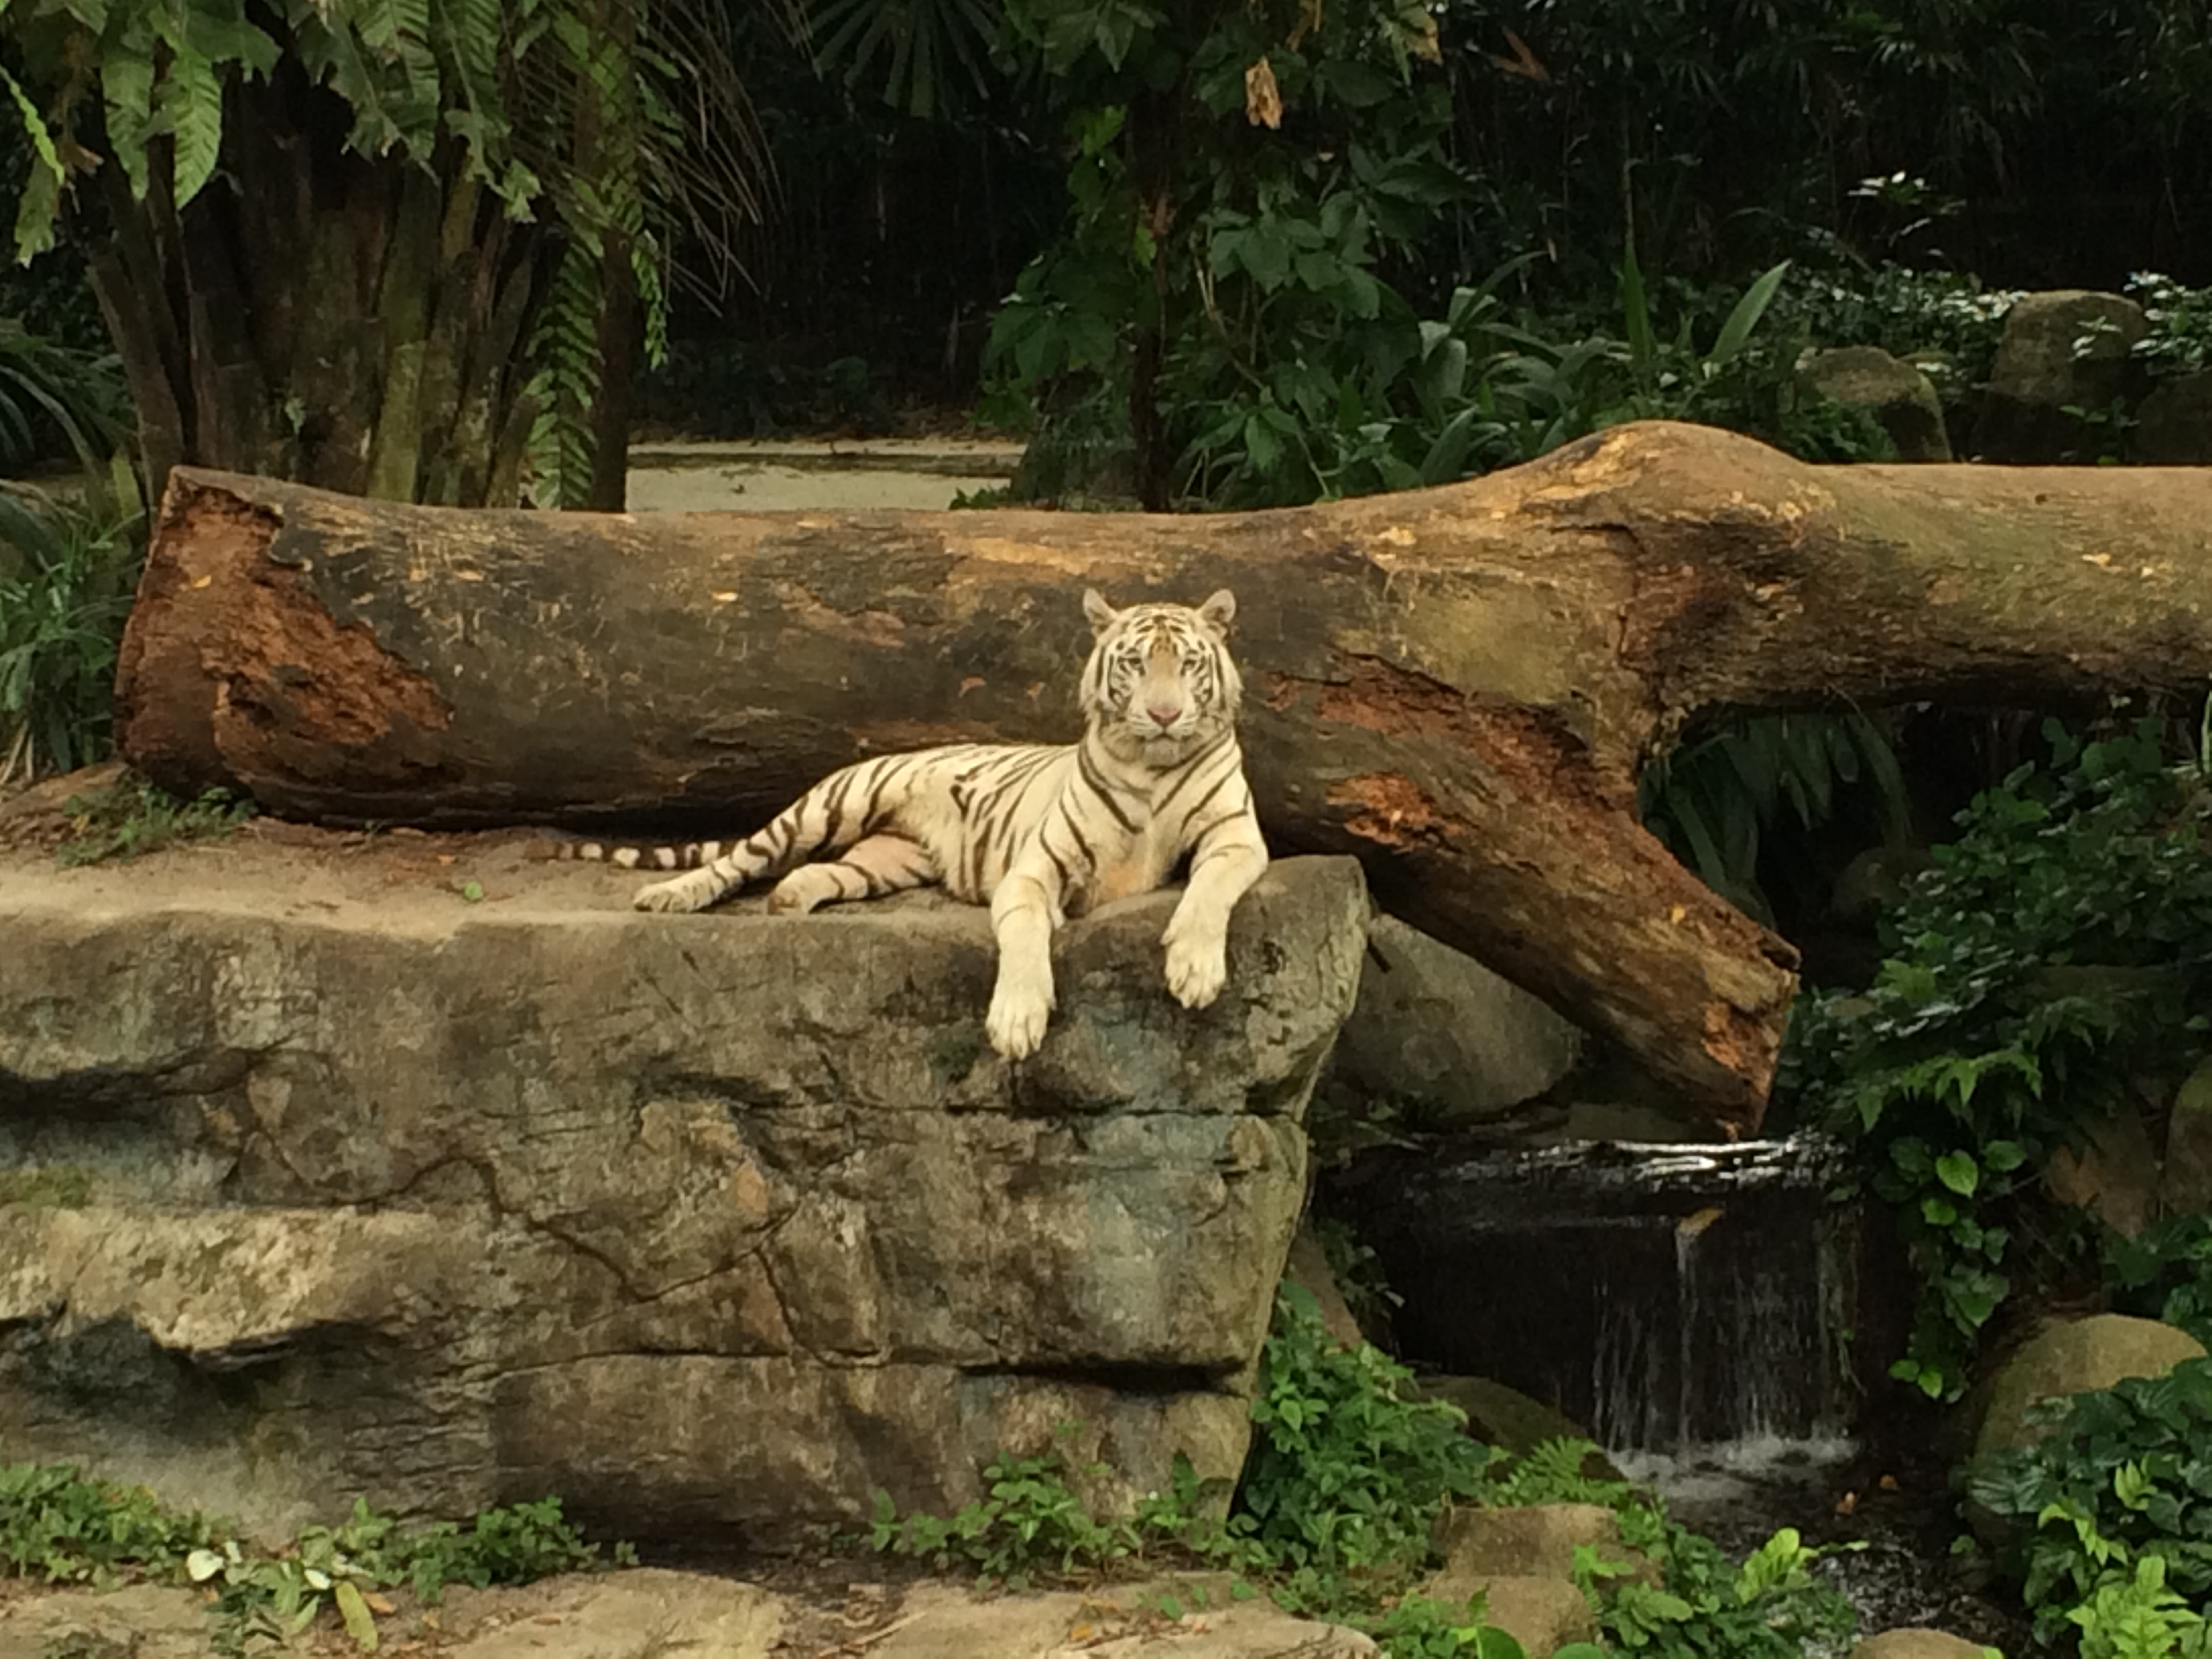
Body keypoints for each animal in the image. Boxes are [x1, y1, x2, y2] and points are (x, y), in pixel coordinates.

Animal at [560, 588, 1270, 1061]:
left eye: (1188, 665)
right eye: (1134, 664)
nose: (1163, 715)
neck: (1152, 767)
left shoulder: (1235, 835)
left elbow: (1207, 893)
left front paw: (1194, 969)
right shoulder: (1033, 870)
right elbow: (1024, 932)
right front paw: (1016, 1020)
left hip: (883, 861)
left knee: (822, 874)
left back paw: (789, 898)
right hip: (826, 807)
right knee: (737, 861)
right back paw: (669, 895)